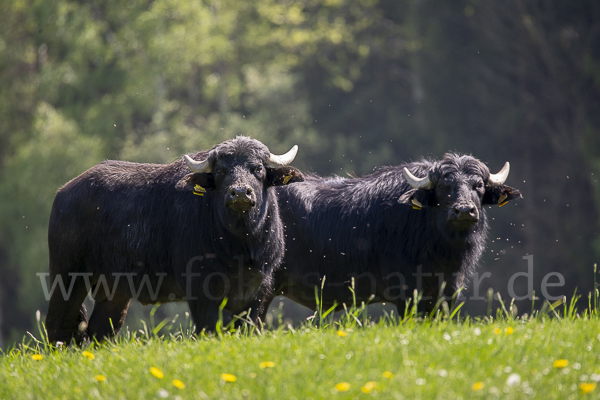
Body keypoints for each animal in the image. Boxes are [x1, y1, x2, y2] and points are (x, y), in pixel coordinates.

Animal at [45, 135, 304, 344]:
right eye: (221, 171)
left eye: (258, 168)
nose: (240, 192)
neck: (240, 245)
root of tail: (61, 195)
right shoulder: (202, 291)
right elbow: (209, 329)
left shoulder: (259, 292)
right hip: (67, 277)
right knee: (58, 325)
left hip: (114, 290)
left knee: (101, 330)